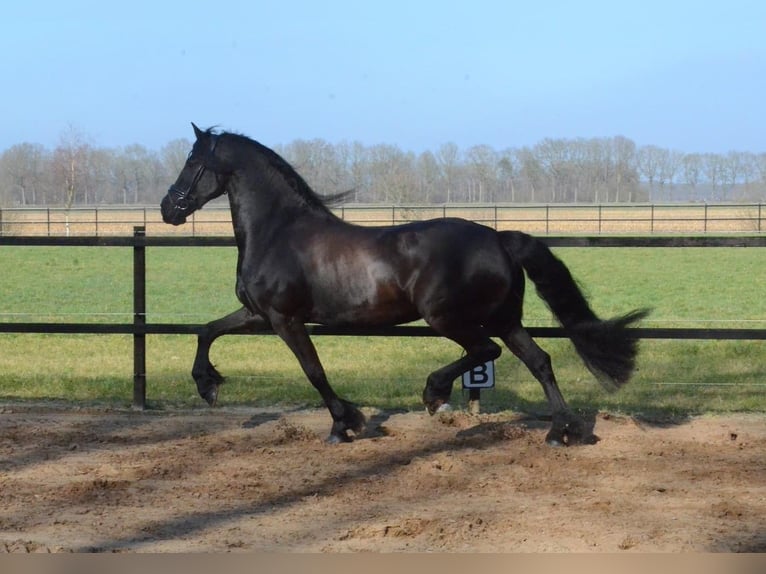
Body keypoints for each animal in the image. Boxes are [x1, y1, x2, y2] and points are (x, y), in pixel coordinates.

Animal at [161, 123, 648, 446]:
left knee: (484, 351)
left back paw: (435, 393)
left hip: (447, 317)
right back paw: (561, 430)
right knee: (539, 361)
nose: (168, 208)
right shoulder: (258, 314)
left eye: (192, 161)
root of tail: (498, 238)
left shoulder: (285, 319)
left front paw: (345, 424)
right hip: (505, 318)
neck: (279, 231)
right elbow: (207, 330)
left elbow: (314, 371)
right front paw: (207, 385)